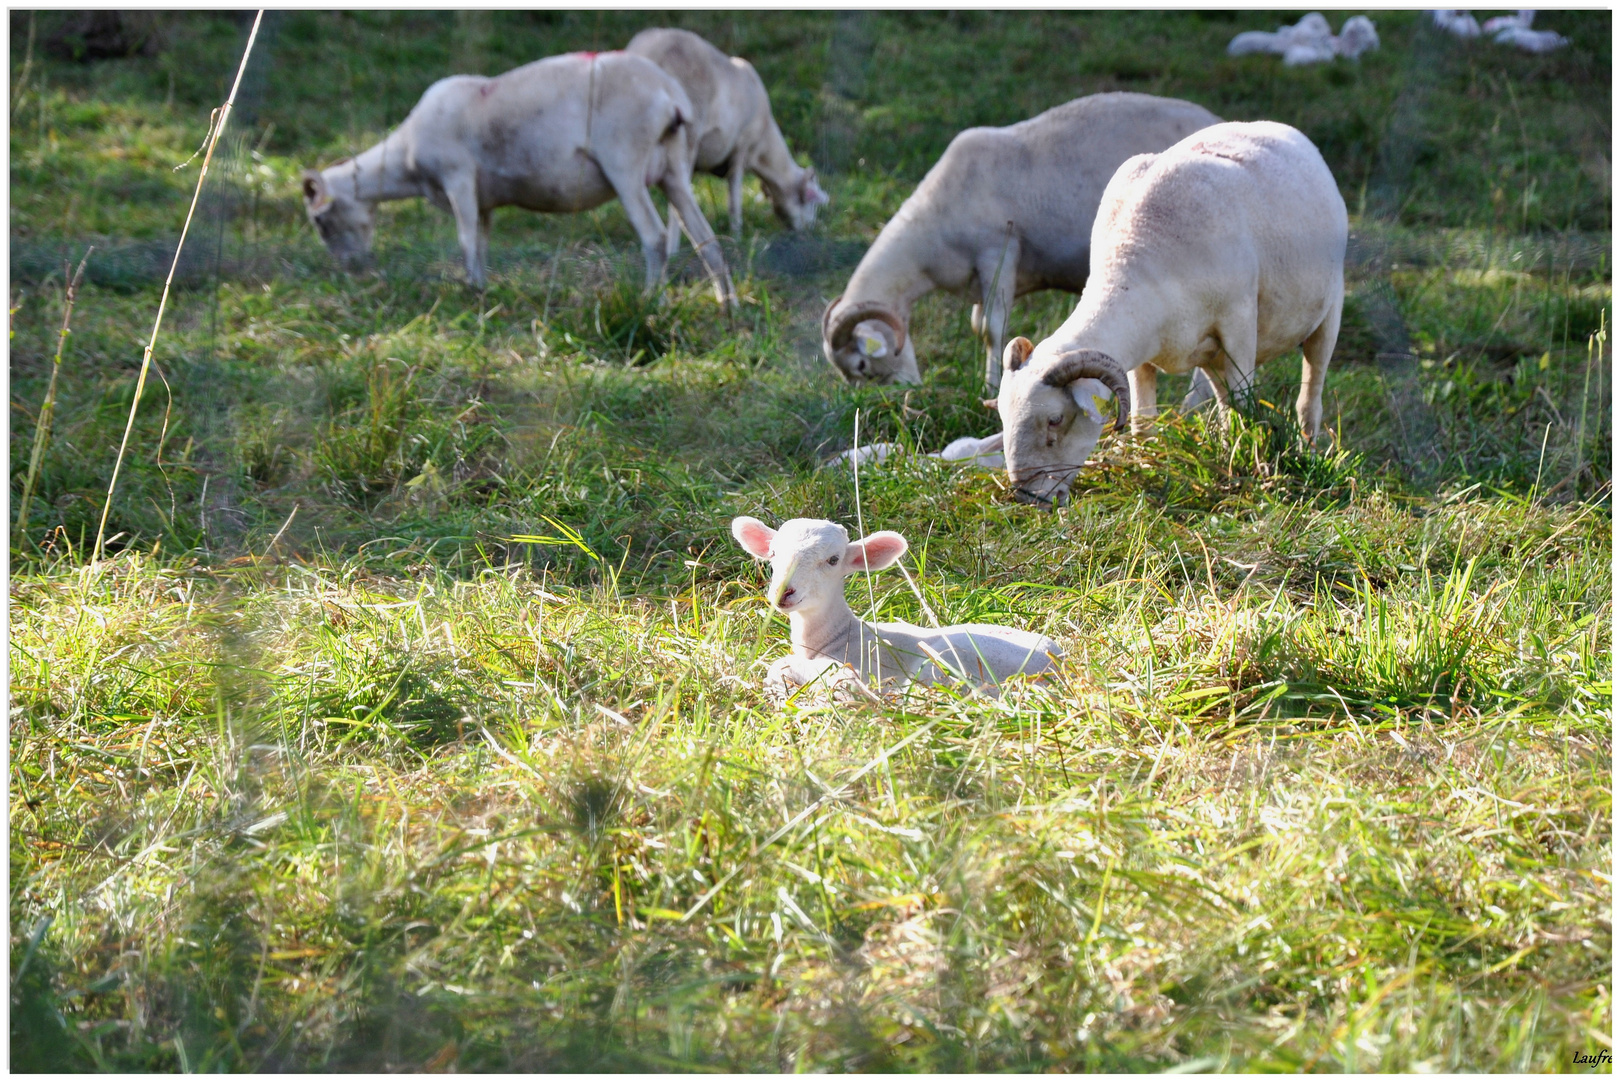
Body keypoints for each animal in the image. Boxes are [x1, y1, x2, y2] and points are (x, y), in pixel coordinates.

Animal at [302, 52, 734, 306]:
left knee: (655, 237)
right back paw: (726, 304)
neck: (405, 159)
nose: (352, 270)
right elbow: (480, 241)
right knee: (707, 239)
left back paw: (650, 301)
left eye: (320, 221)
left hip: (625, 161)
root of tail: (669, 94)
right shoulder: (484, 199)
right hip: (674, 168)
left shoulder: (458, 177)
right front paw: (480, 287)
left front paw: (469, 292)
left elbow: (465, 239)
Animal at [624, 26, 828, 246]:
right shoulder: (741, 148)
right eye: (813, 203)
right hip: (686, 133)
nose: (809, 233)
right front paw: (737, 235)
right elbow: (734, 197)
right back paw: (676, 247)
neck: (763, 149)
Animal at [734, 518, 1061, 702]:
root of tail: (1059, 667)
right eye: (772, 553)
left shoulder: (856, 664)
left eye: (833, 560)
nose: (783, 592)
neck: (838, 635)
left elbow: (780, 666)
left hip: (945, 660)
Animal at [815, 91, 1216, 388]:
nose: (900, 399)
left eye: (862, 365)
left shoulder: (999, 251)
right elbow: (979, 325)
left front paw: (991, 387)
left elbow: (993, 327)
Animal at [990, 118, 1346, 508]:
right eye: (1004, 417)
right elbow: (1143, 421)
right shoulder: (1139, 353)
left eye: (1054, 419)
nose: (1027, 495)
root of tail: (1278, 127)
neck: (1140, 252)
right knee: (1225, 403)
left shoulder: (1239, 324)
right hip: (1211, 356)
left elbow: (1245, 404)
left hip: (1329, 312)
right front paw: (1145, 468)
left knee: (1308, 399)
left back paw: (1306, 451)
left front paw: (1243, 469)